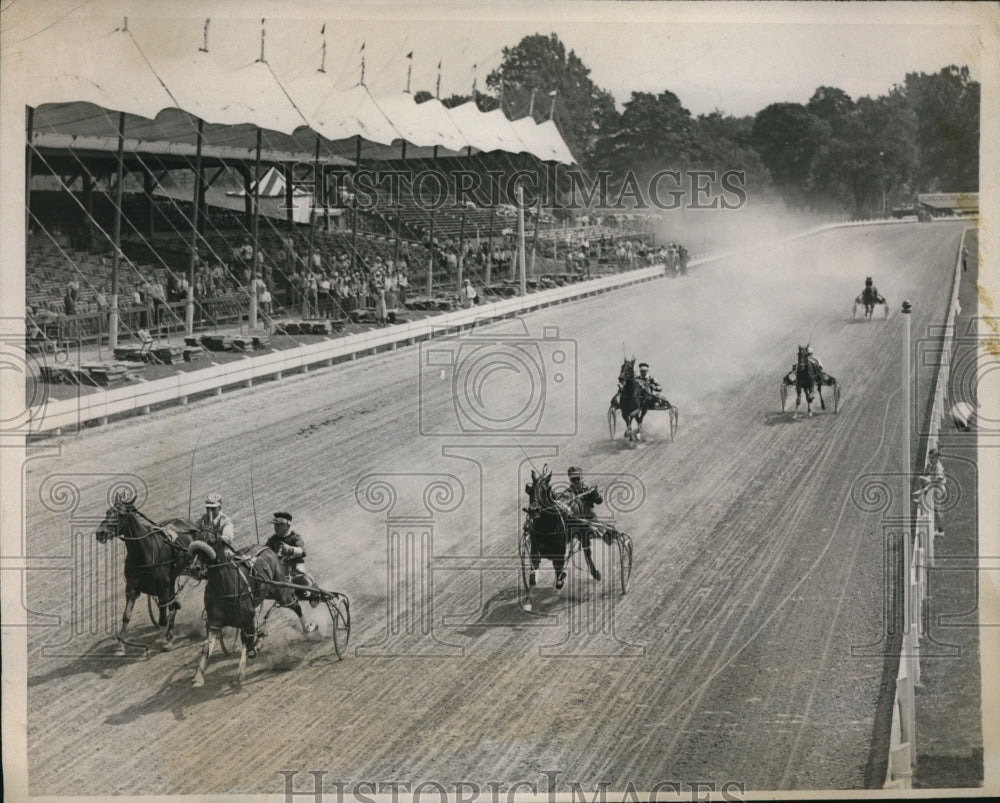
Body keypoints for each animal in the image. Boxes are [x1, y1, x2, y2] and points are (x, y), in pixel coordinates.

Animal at [95, 496, 199, 652]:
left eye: (121, 514)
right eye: (108, 512)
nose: (100, 533)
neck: (144, 551)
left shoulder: (163, 587)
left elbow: (165, 616)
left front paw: (168, 638)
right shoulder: (132, 588)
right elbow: (126, 616)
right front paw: (120, 644)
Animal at [189, 532, 318, 688]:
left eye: (211, 542)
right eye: (196, 541)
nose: (194, 568)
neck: (226, 586)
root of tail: (268, 549)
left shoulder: (247, 619)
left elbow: (249, 644)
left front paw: (241, 672)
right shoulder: (214, 622)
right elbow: (207, 647)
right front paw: (198, 677)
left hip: (281, 591)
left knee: (296, 605)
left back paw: (309, 627)